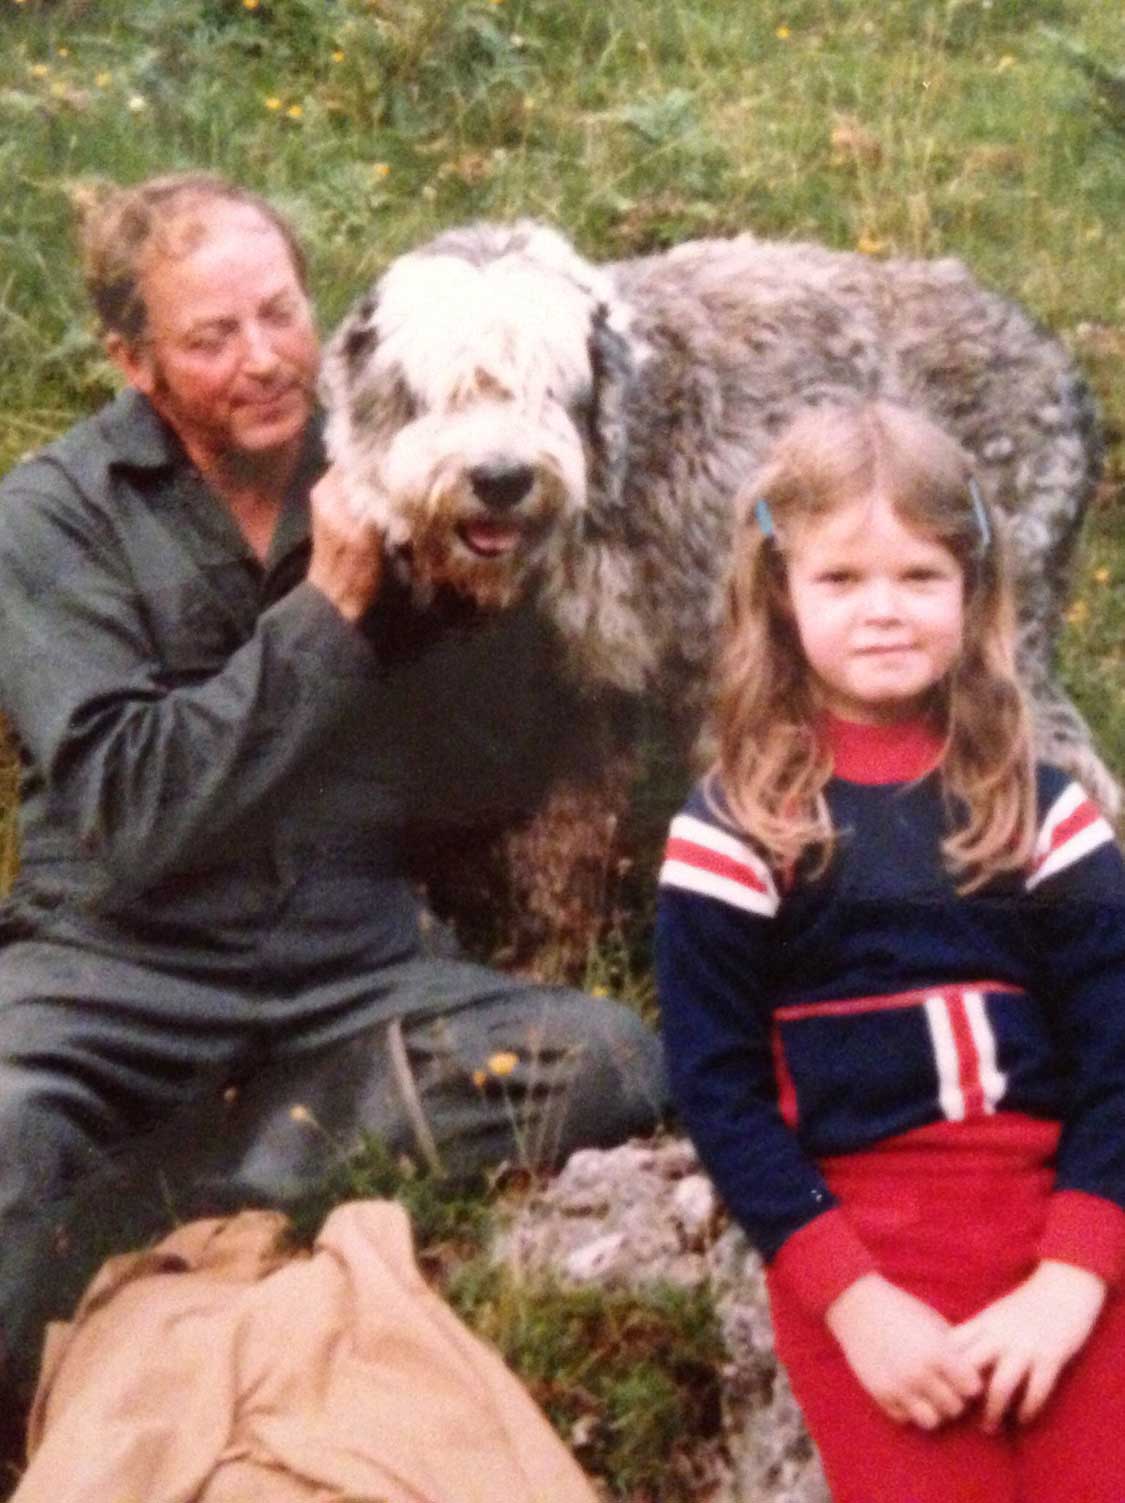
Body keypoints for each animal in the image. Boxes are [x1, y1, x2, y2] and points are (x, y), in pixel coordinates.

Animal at [319, 223, 1111, 973]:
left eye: (550, 388)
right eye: (437, 389)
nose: (502, 478)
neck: (618, 462)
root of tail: (1065, 374)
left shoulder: (720, 678)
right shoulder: (583, 687)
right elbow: (568, 842)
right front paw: (557, 958)